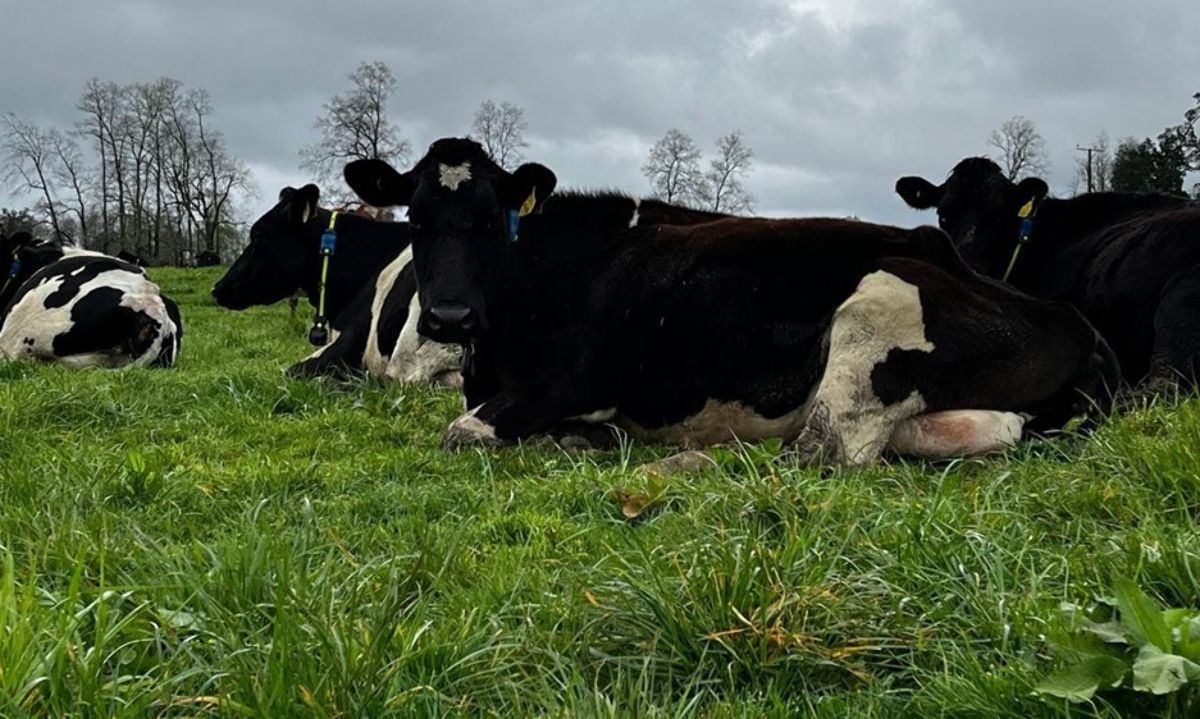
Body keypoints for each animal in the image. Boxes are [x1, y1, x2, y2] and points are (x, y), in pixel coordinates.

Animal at [343, 139, 1118, 468]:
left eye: (489, 219)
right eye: (415, 218)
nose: (448, 318)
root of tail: (1078, 324)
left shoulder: (579, 381)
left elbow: (461, 431)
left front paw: (575, 435)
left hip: (880, 303)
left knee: (822, 450)